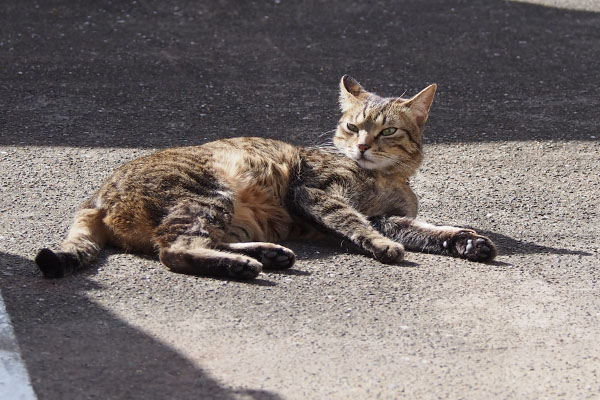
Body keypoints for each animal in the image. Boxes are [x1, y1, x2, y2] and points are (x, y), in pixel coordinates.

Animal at [35, 76, 500, 280]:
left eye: (387, 132)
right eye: (352, 127)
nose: (363, 146)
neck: (384, 178)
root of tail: (97, 194)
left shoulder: (392, 216)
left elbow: (430, 229)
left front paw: (467, 240)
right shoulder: (315, 193)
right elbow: (355, 222)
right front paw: (383, 247)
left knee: (188, 242)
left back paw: (268, 254)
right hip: (209, 195)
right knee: (175, 250)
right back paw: (243, 265)